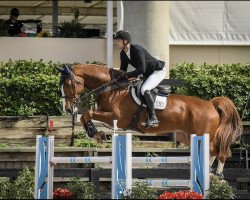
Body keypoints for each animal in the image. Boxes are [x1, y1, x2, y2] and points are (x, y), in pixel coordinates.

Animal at [56, 63, 242, 177]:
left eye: (68, 84)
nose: (67, 108)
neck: (113, 87)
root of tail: (211, 104)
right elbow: (85, 115)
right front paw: (96, 133)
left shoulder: (116, 118)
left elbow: (87, 113)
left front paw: (96, 134)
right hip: (187, 136)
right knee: (212, 150)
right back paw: (209, 170)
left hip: (201, 135)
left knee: (220, 151)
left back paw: (217, 173)